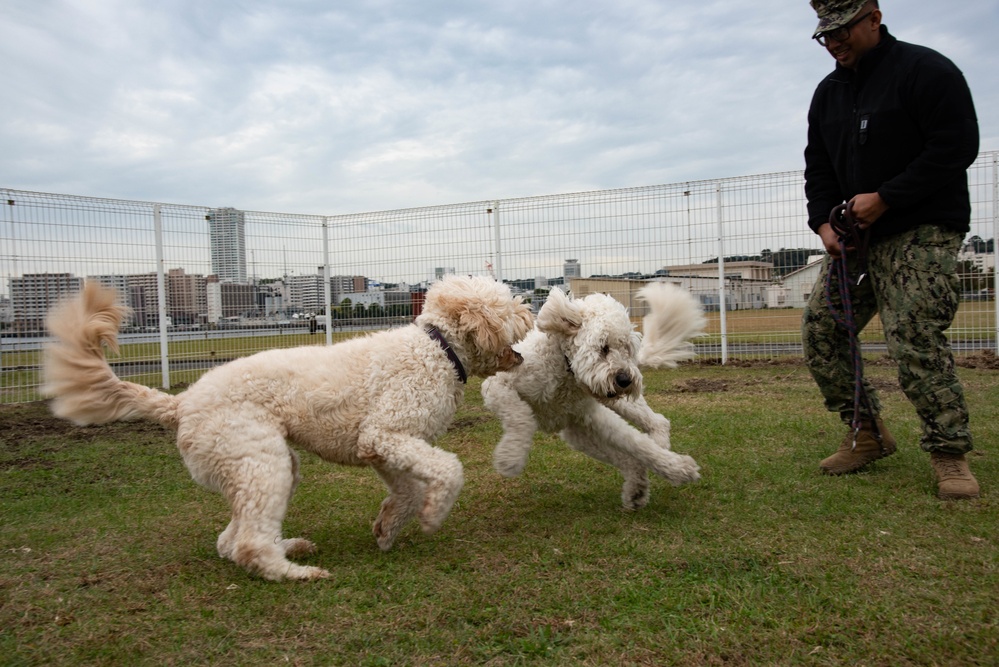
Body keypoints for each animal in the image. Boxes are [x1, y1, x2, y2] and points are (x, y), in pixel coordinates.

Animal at [43, 276, 536, 580]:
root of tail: (180, 403)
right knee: (246, 544)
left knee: (229, 540)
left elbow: (408, 491)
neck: (437, 350)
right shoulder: (387, 433)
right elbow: (450, 471)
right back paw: (293, 572)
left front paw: (387, 528)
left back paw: (289, 548)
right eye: (508, 301)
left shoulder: (386, 447)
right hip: (262, 461)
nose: (531, 306)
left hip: (257, 467)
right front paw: (433, 516)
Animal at [482, 284, 704, 512]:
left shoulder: (590, 415)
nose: (624, 379)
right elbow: (521, 417)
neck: (565, 369)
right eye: (603, 347)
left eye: (626, 349)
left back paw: (656, 449)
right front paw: (511, 457)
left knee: (657, 422)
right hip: (579, 433)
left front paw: (678, 468)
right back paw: (637, 484)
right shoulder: (498, 385)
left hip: (611, 409)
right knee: (630, 450)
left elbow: (637, 443)